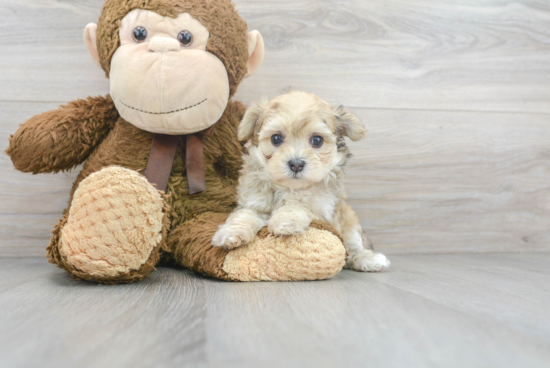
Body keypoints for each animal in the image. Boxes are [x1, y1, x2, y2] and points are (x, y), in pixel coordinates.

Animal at [212, 90, 392, 272]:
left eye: (317, 140)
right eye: (276, 138)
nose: (296, 164)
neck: (290, 187)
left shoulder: (322, 207)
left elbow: (300, 205)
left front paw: (284, 221)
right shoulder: (253, 202)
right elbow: (244, 215)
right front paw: (230, 233)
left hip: (349, 221)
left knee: (352, 248)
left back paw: (369, 259)